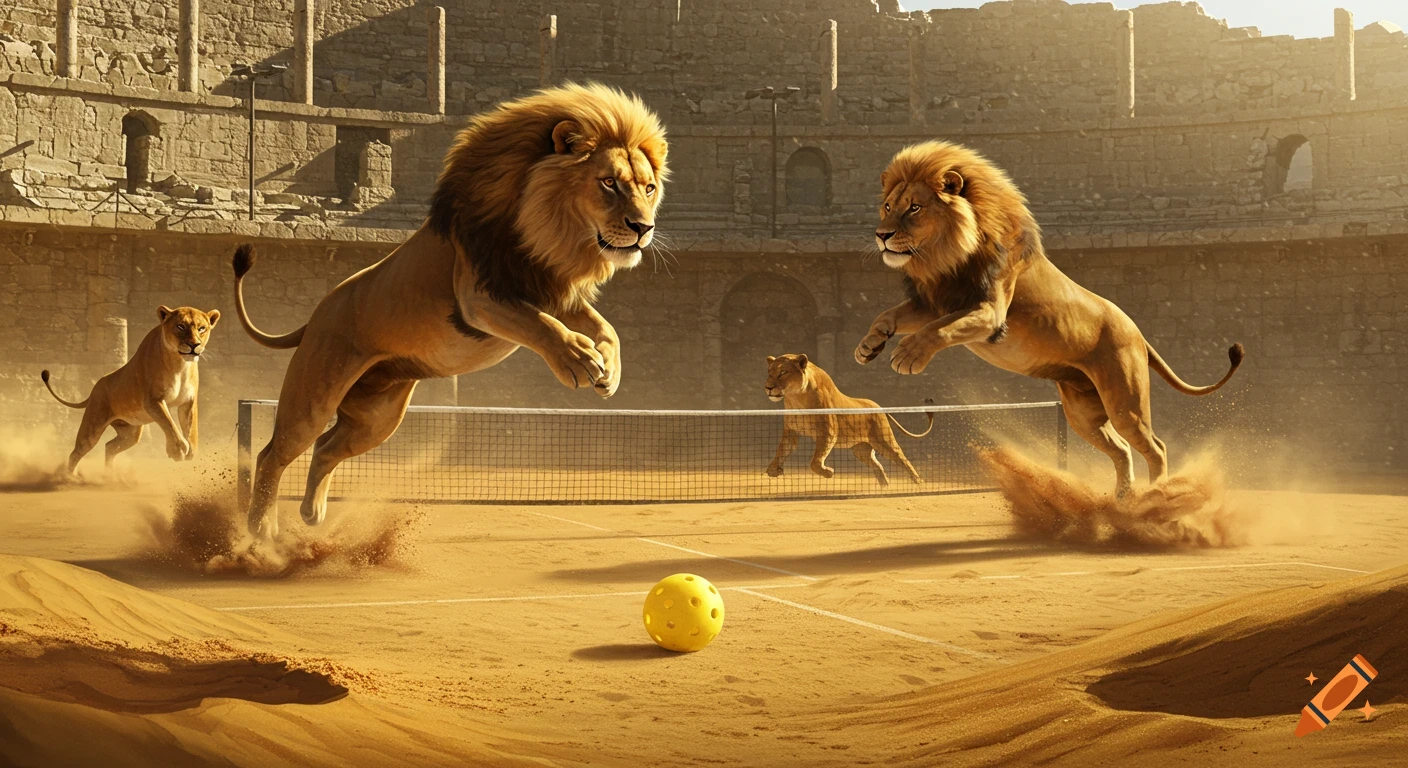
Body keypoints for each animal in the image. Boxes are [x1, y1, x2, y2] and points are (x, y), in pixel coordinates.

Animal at [41, 306, 219, 477]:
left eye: (202, 328)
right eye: (180, 326)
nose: (194, 345)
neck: (180, 364)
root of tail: (95, 387)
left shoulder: (188, 402)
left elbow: (191, 429)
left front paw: (191, 450)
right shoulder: (152, 401)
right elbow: (169, 424)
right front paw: (177, 450)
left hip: (130, 434)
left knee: (109, 446)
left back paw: (110, 476)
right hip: (92, 428)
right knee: (77, 452)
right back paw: (69, 477)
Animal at [233, 83, 668, 538]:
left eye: (648, 188)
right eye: (608, 183)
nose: (644, 228)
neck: (547, 234)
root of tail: (315, 315)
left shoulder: (548, 288)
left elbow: (604, 327)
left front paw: (610, 372)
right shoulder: (479, 297)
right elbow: (541, 325)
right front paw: (579, 360)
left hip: (378, 418)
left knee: (326, 448)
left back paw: (311, 512)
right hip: (313, 398)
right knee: (273, 453)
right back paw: (261, 527)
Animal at [764, 354, 933, 486]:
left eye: (783, 372)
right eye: (769, 373)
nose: (768, 387)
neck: (796, 399)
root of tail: (879, 407)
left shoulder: (828, 432)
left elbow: (815, 461)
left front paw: (828, 472)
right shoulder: (791, 431)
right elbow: (782, 449)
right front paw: (773, 469)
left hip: (884, 441)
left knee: (902, 459)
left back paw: (919, 483)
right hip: (861, 450)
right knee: (878, 466)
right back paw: (884, 488)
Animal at [857, 140, 1243, 496]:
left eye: (915, 208)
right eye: (888, 206)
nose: (881, 235)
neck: (944, 256)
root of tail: (1139, 333)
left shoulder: (989, 313)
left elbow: (938, 330)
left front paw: (907, 356)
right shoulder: (936, 301)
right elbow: (889, 314)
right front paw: (869, 346)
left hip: (1124, 403)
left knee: (1155, 447)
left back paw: (1157, 497)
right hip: (1082, 413)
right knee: (1120, 450)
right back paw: (1123, 502)